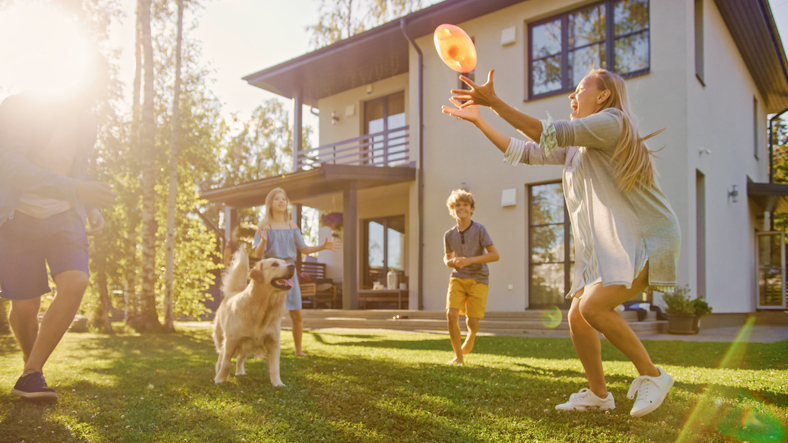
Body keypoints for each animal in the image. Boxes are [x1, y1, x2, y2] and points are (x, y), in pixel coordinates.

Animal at [211, 251, 294, 386]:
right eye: (274, 264)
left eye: (285, 263)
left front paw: (277, 383)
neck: (264, 307)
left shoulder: (274, 343)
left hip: (247, 345)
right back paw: (218, 371)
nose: (293, 266)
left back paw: (240, 372)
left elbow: (275, 367)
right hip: (221, 338)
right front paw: (220, 379)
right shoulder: (231, 341)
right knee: (221, 356)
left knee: (240, 358)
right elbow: (226, 362)